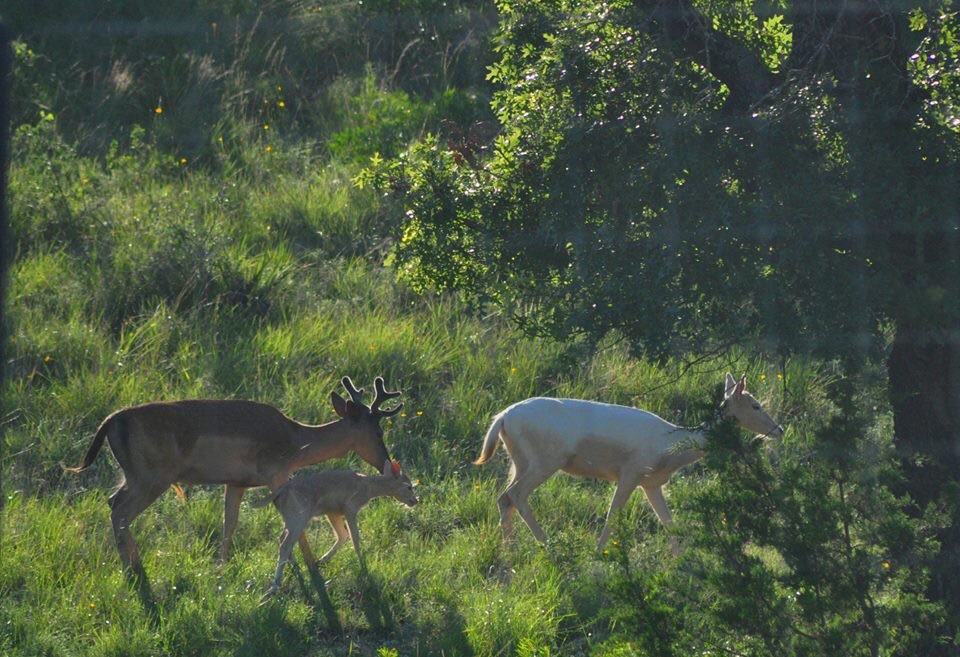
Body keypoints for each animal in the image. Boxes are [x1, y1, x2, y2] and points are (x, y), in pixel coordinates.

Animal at [65, 376, 403, 572]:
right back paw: (134, 568)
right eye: (377, 432)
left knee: (112, 501)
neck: (297, 443)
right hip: (151, 475)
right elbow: (295, 521)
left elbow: (230, 523)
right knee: (120, 511)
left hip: (134, 475)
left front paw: (221, 568)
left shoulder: (236, 482)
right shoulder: (275, 472)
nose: (386, 462)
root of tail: (111, 420)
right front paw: (310, 564)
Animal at [251, 459, 419, 602]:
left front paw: (322, 560)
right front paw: (362, 564)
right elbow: (354, 536)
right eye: (409, 486)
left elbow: (343, 535)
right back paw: (274, 587)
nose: (415, 500)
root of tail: (278, 492)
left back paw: (296, 570)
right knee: (285, 543)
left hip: (290, 517)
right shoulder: (350, 507)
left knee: (282, 539)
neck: (369, 488)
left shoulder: (333, 511)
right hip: (299, 514)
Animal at [474, 373, 784, 549]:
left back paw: (509, 550)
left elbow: (669, 522)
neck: (670, 448)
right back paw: (545, 545)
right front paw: (598, 553)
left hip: (519, 460)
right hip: (546, 458)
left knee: (505, 497)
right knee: (516, 495)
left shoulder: (652, 483)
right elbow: (613, 514)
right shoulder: (632, 471)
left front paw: (685, 562)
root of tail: (502, 418)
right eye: (756, 405)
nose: (778, 430)